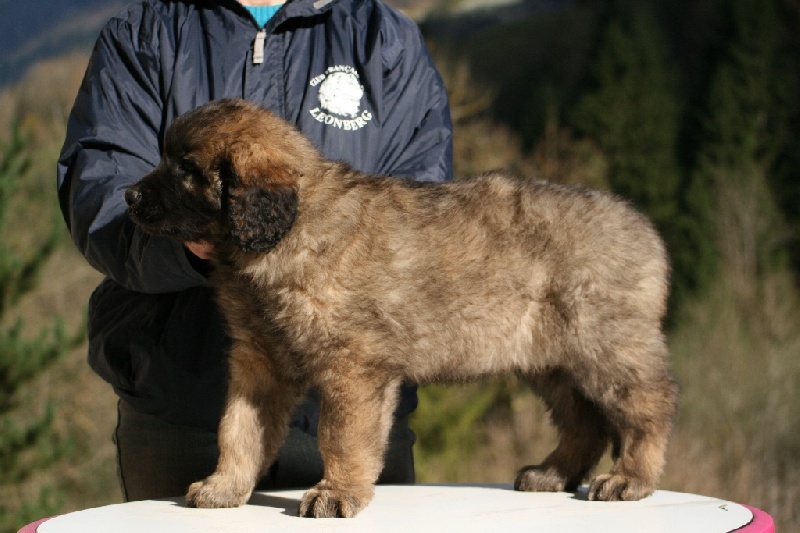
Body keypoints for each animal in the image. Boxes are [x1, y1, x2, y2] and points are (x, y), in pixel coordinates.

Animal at [125, 99, 678, 518]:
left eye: (186, 169)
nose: (127, 195)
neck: (289, 228)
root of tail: (645, 230)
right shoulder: (258, 359)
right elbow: (238, 428)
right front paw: (224, 486)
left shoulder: (353, 364)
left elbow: (341, 435)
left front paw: (336, 493)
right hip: (551, 360)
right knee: (585, 421)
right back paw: (552, 473)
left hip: (605, 345)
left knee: (647, 409)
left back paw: (630, 478)